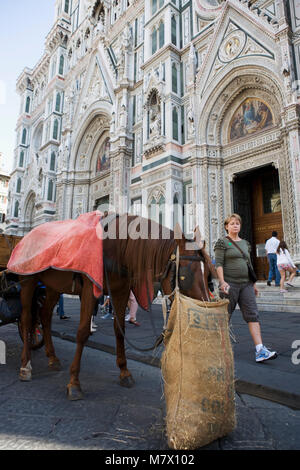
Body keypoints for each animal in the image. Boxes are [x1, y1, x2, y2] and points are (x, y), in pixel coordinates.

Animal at [15, 213, 216, 400]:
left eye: (208, 275)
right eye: (184, 275)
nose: (206, 317)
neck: (117, 249)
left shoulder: (121, 290)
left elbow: (120, 330)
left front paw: (124, 373)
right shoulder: (90, 289)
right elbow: (82, 332)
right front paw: (74, 383)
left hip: (53, 286)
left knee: (45, 315)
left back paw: (52, 358)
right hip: (28, 279)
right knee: (26, 318)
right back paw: (25, 365)